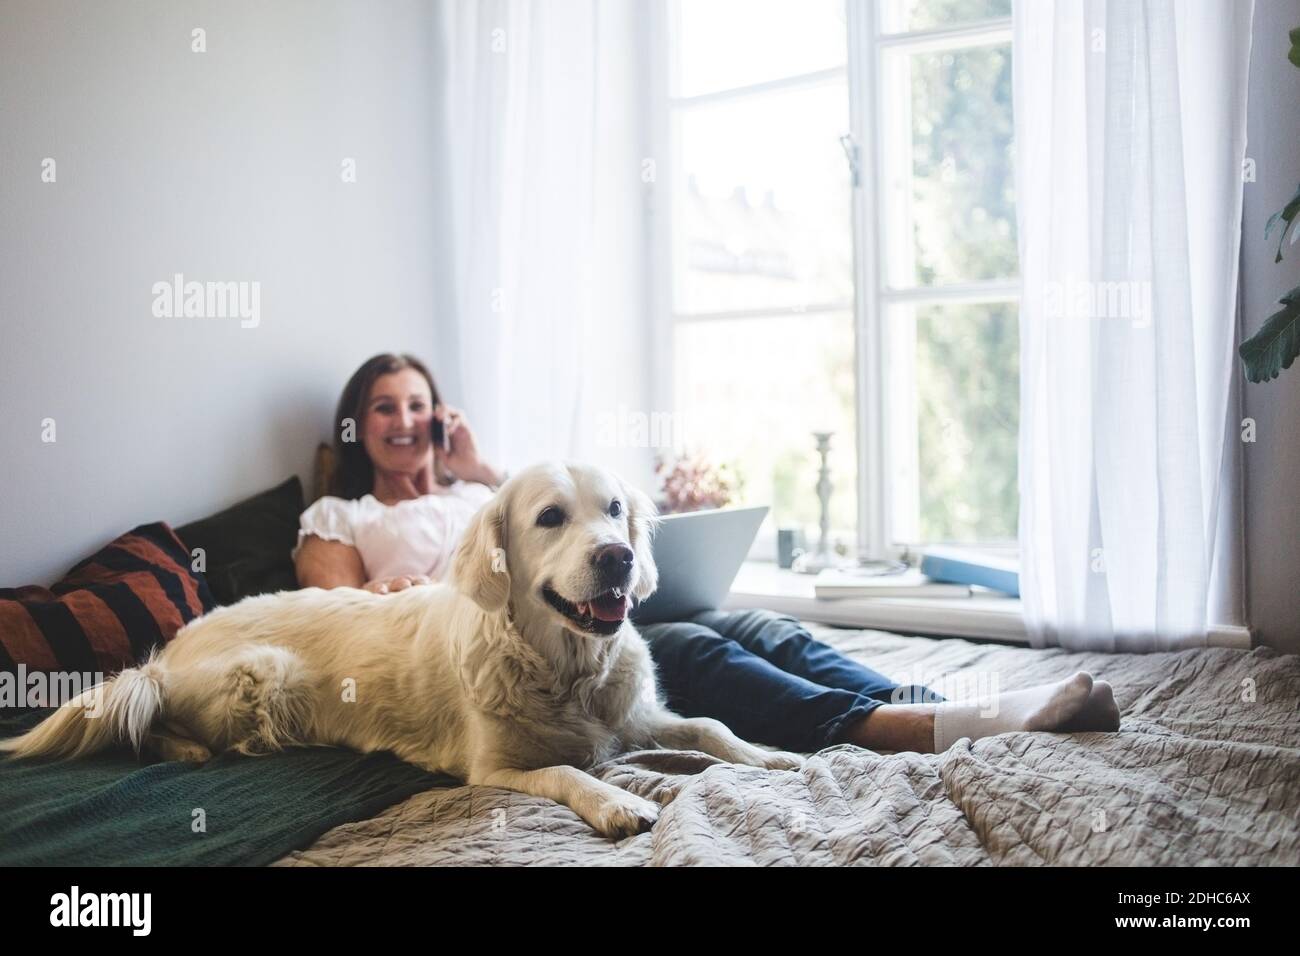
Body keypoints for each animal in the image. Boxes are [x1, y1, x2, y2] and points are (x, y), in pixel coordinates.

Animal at [0, 463, 800, 837]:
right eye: (549, 517)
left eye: (613, 511)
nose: (618, 559)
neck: (564, 664)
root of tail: (170, 646)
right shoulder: (493, 767)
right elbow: (569, 772)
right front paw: (615, 801)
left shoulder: (634, 716)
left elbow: (709, 726)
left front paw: (774, 757)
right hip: (260, 674)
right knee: (155, 715)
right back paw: (188, 748)